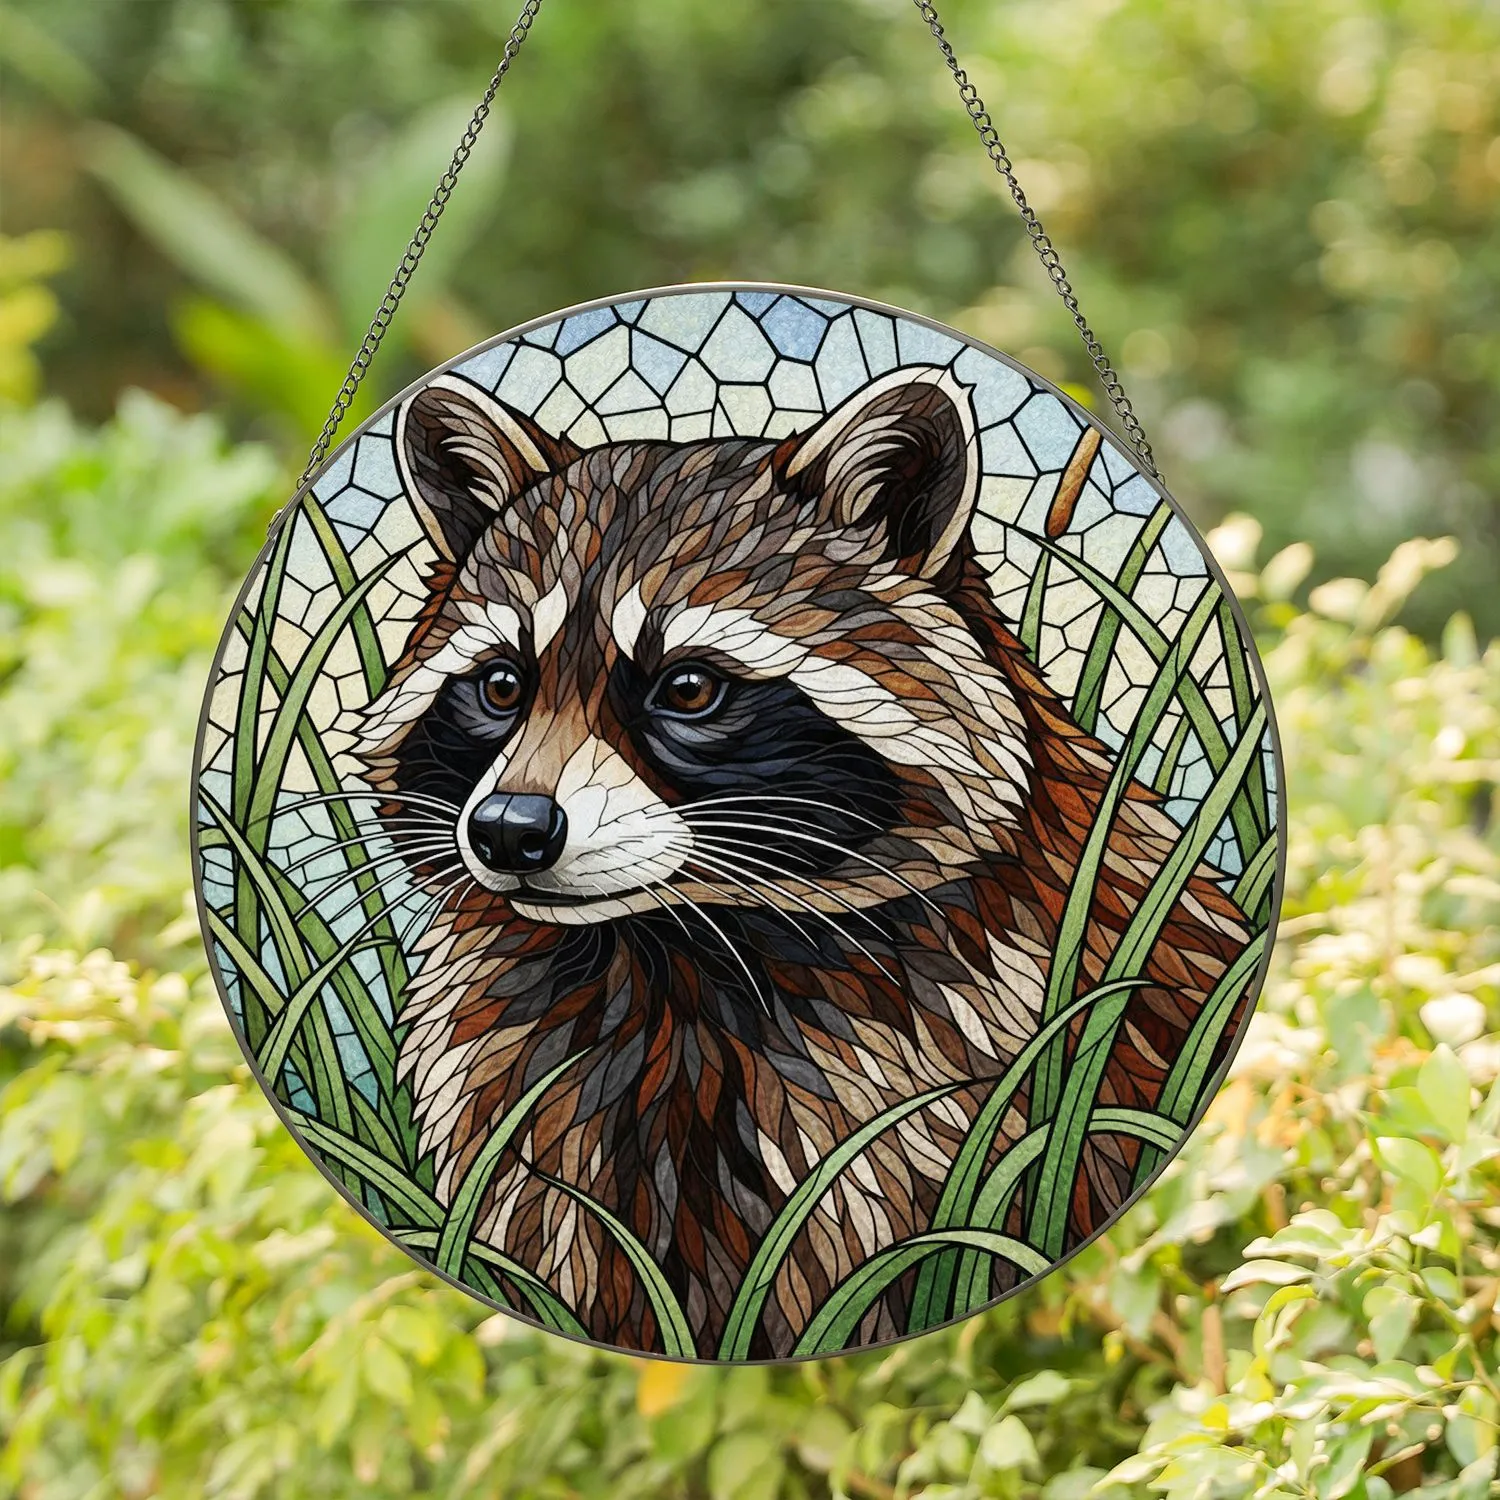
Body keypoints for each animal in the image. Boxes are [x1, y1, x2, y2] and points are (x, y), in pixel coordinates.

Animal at [354, 364, 1253, 1357]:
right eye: (503, 685)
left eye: (689, 688)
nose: (512, 829)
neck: (671, 947)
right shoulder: (525, 1090)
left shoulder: (938, 1086)